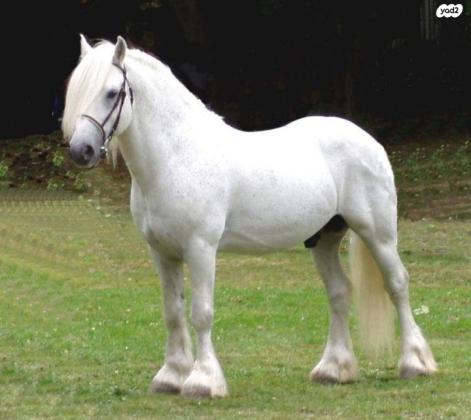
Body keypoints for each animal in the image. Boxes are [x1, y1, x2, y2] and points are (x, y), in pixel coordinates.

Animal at [63, 35, 437, 398]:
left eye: (112, 92)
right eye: (75, 93)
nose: (81, 151)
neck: (177, 157)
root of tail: (368, 140)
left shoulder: (200, 248)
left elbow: (201, 313)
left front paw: (203, 382)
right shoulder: (162, 253)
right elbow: (173, 313)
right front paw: (170, 377)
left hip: (378, 234)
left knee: (397, 285)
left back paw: (415, 363)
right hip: (324, 239)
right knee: (340, 292)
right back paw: (333, 370)